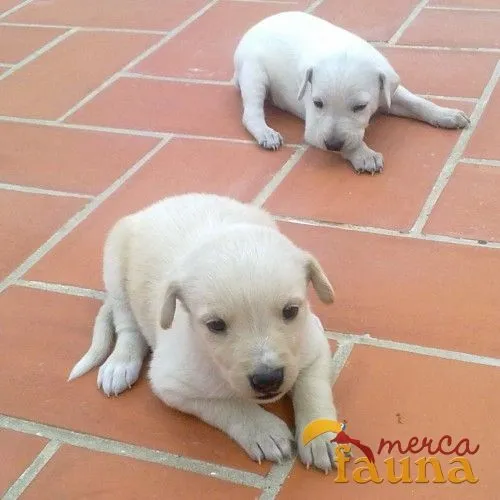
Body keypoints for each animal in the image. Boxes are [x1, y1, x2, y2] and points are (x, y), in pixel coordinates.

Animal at [69, 193, 340, 470]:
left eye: (290, 311)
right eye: (216, 325)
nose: (268, 379)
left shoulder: (314, 347)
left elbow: (312, 388)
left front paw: (321, 436)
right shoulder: (171, 384)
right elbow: (228, 404)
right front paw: (264, 431)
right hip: (114, 263)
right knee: (127, 325)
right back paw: (120, 364)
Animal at [233, 11, 468, 174]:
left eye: (360, 107)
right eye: (317, 103)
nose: (332, 145)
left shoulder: (388, 92)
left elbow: (417, 102)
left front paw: (447, 114)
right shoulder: (314, 128)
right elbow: (348, 140)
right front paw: (363, 154)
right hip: (253, 73)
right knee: (251, 113)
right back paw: (267, 133)